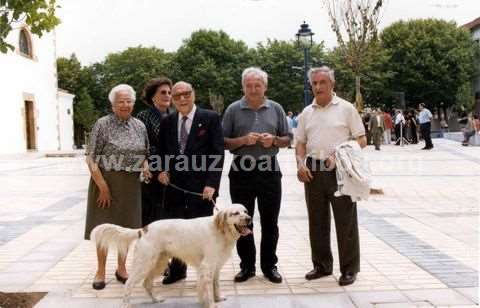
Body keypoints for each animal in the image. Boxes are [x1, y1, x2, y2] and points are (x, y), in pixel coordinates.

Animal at [91, 205, 253, 308]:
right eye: (235, 213)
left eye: (245, 211)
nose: (249, 218)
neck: (221, 231)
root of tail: (143, 229)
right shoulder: (206, 267)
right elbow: (207, 289)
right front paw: (211, 304)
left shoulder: (216, 267)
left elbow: (216, 285)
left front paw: (218, 298)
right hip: (144, 263)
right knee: (129, 284)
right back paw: (126, 304)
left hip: (158, 263)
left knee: (147, 284)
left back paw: (156, 300)